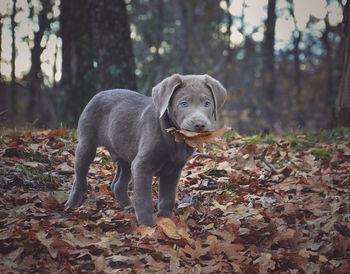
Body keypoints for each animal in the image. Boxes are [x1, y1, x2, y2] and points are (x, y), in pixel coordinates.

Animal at [65, 74, 227, 226]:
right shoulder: (141, 166)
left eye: (207, 103)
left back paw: (127, 207)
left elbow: (167, 199)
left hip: (126, 155)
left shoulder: (174, 170)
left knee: (118, 185)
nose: (199, 124)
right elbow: (144, 200)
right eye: (184, 104)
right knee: (79, 178)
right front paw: (148, 226)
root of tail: (98, 94)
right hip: (86, 144)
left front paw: (167, 222)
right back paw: (71, 205)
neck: (175, 137)